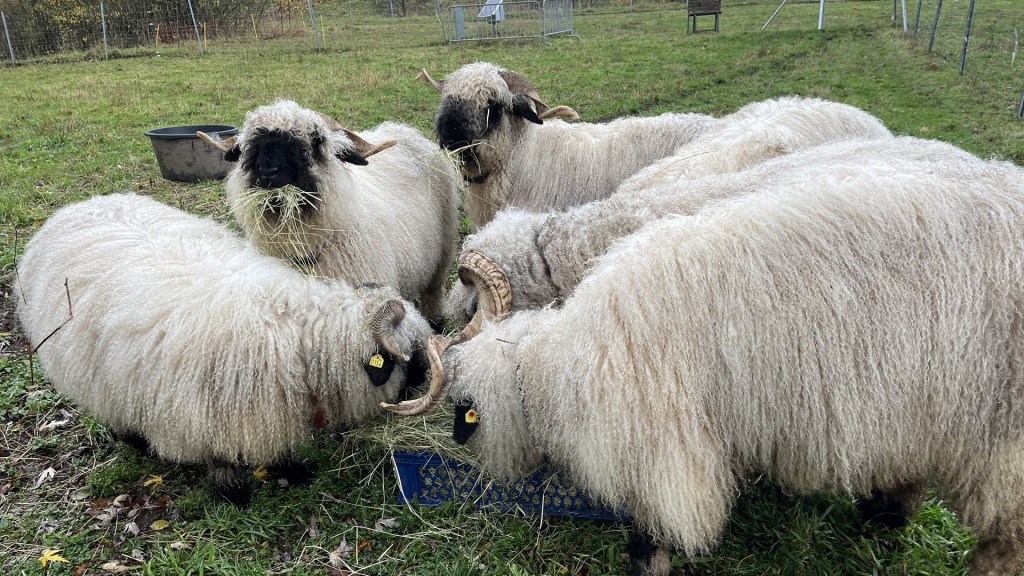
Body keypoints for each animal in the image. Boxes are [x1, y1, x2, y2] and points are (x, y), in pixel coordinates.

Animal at [16, 191, 432, 502]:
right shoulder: (198, 411)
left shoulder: (269, 409)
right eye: (410, 357)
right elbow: (218, 458)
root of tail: (77, 206)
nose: (425, 385)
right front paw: (233, 492)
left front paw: (292, 471)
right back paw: (133, 439)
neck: (297, 337)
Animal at [196, 97, 460, 323]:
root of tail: (402, 129)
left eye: (316, 141)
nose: (268, 172)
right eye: (249, 146)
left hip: (443, 252)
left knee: (433, 292)